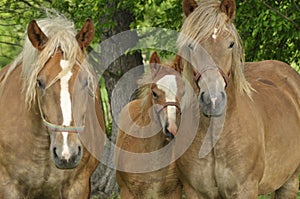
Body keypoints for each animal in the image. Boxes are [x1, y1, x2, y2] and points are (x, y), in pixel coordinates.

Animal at [176, 0, 300, 198]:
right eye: (191, 46)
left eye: (231, 44)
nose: (213, 100)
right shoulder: (194, 191)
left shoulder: (245, 189)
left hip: (290, 182)